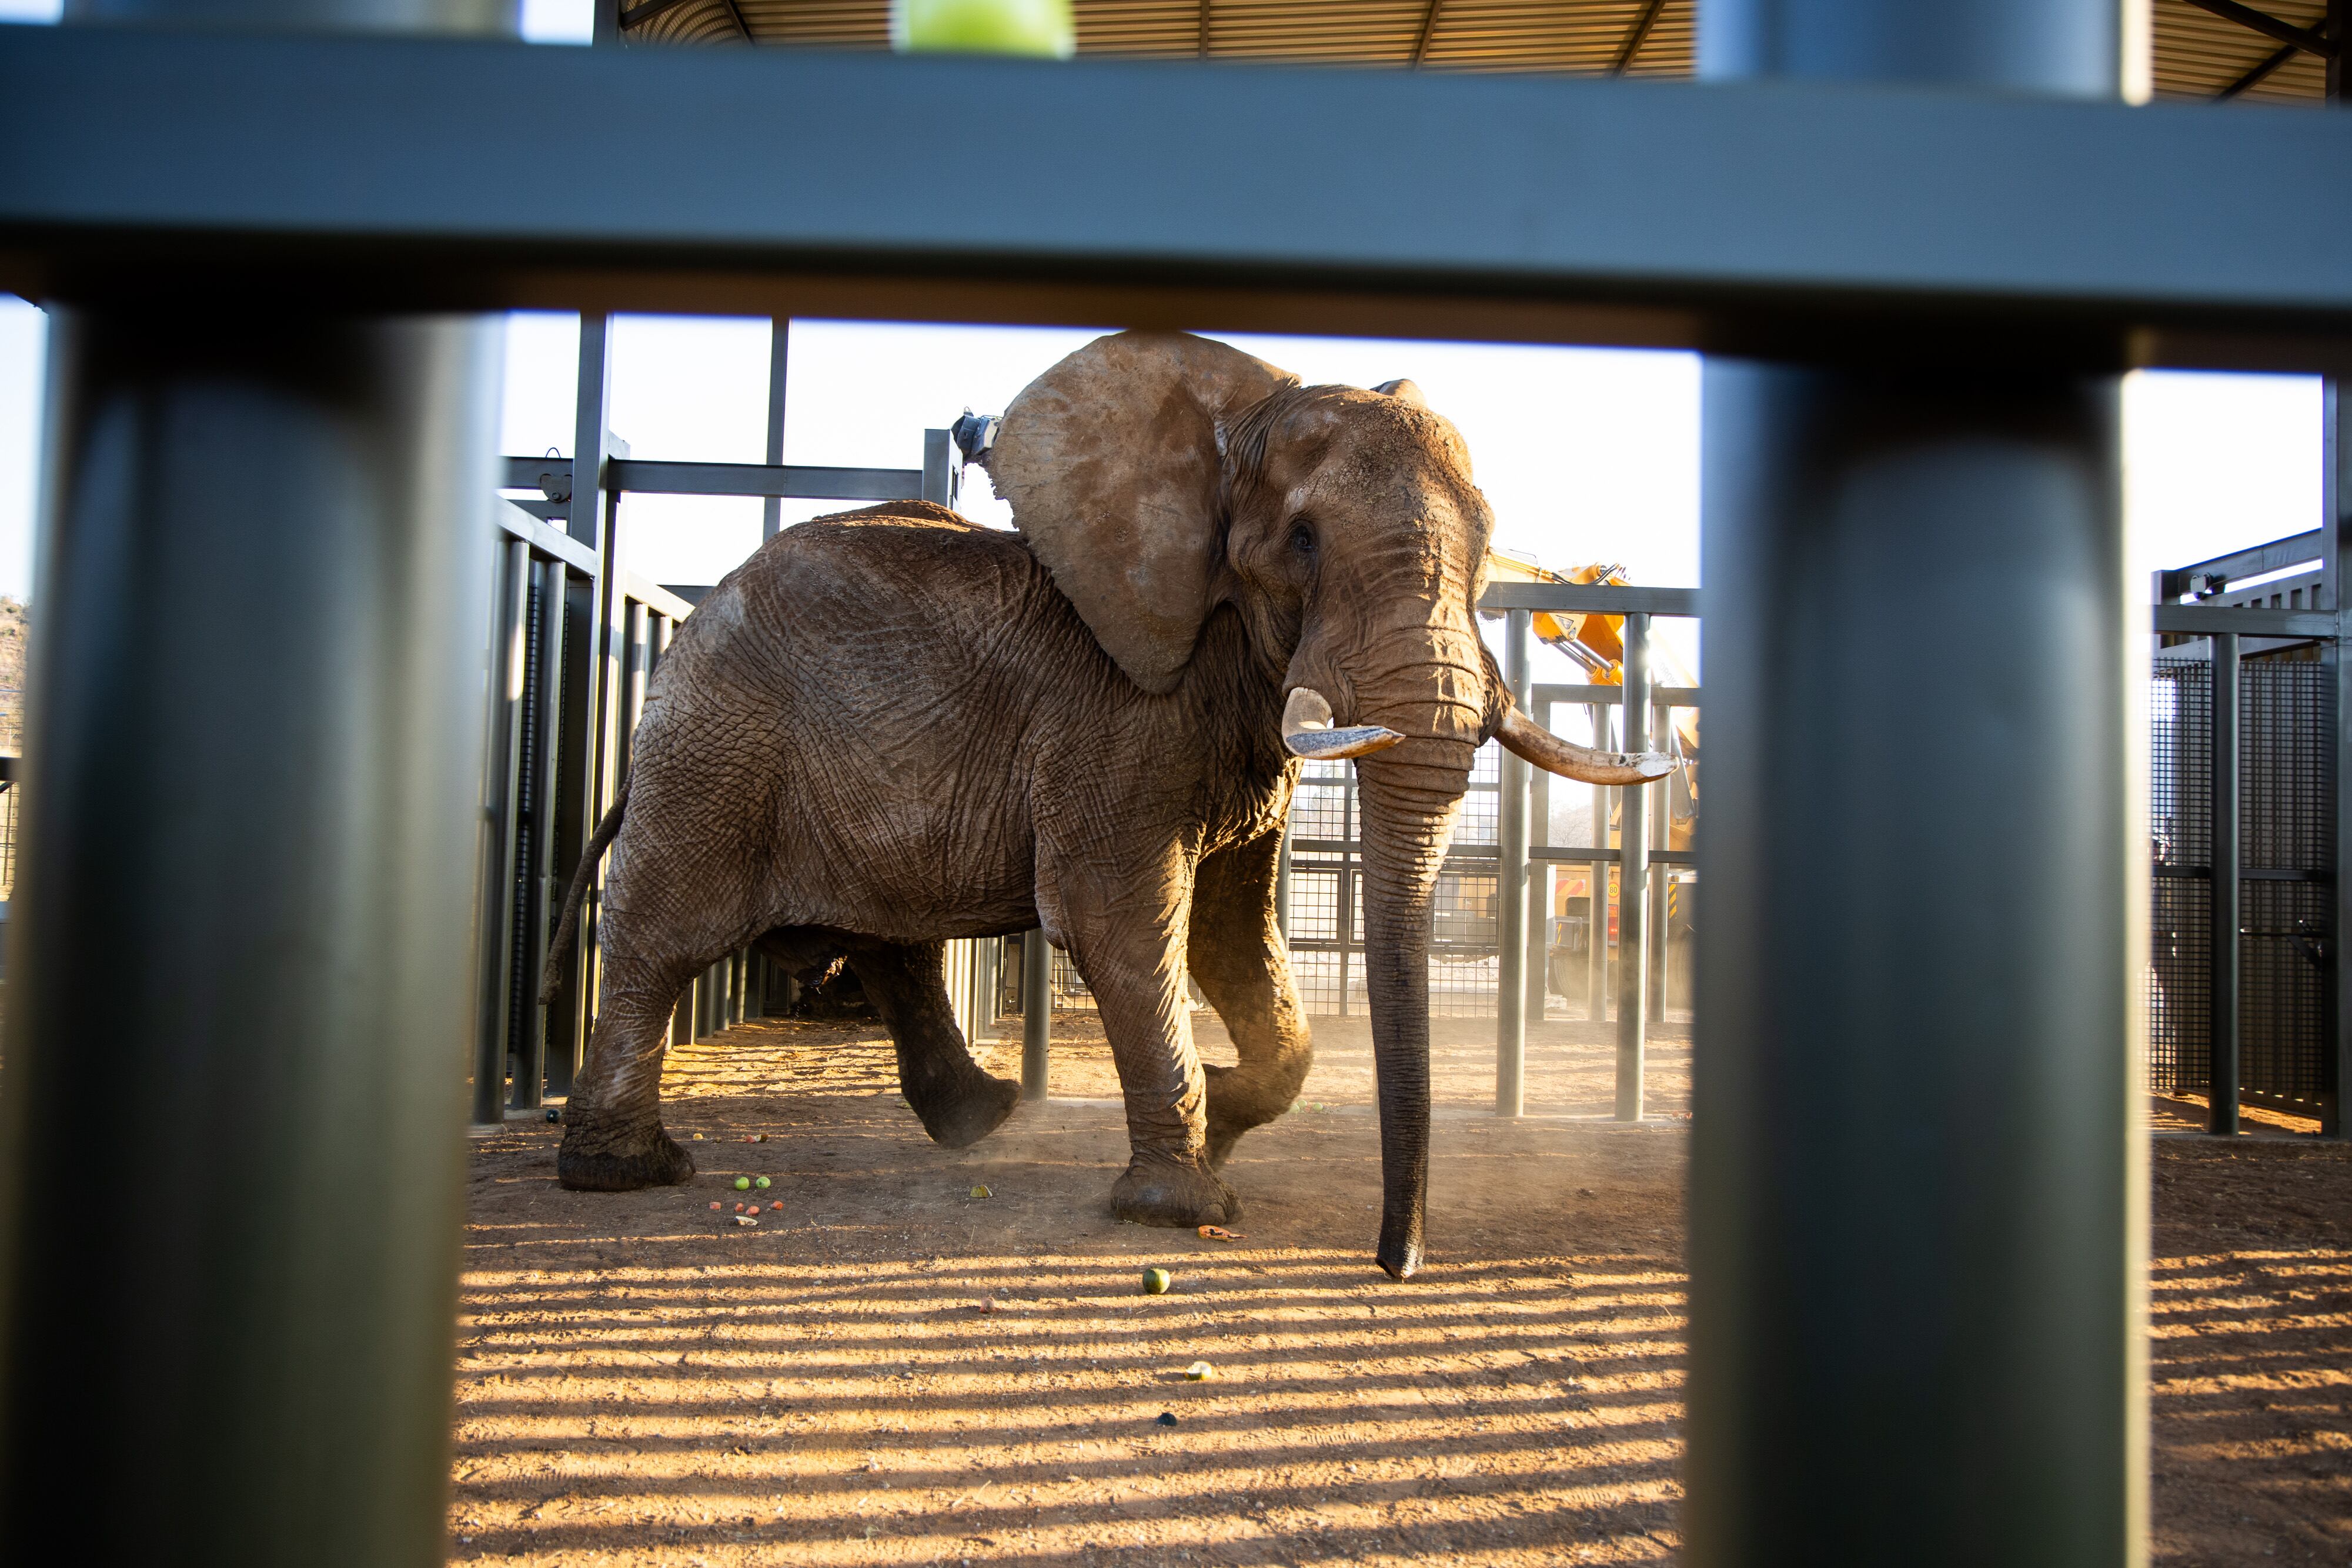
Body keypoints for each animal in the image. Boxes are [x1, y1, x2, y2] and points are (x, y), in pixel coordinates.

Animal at [539, 329, 1675, 1279]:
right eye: (1304, 541)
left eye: (1487, 544)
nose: (1398, 1263)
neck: (1232, 425)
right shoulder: (1117, 713)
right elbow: (1121, 923)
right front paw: (1184, 1203)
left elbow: (1231, 928)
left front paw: (1225, 1108)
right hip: (717, 751)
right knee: (662, 942)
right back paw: (628, 1172)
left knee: (891, 943)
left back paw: (982, 1119)